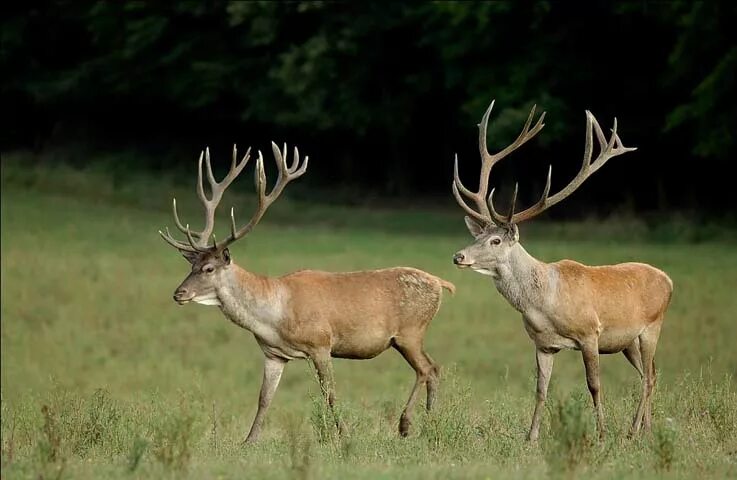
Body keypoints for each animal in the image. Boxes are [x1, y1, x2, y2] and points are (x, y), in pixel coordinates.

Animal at [158, 142, 452, 442]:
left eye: (208, 268)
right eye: (191, 265)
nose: (179, 293)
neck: (274, 317)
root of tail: (441, 283)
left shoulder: (321, 343)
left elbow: (330, 394)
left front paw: (345, 435)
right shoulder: (273, 354)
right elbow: (264, 398)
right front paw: (249, 441)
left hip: (410, 331)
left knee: (427, 368)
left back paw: (407, 425)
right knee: (433, 369)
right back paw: (430, 422)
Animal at [448, 99, 672, 440]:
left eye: (496, 240)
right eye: (477, 237)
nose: (459, 256)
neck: (542, 304)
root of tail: (668, 280)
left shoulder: (590, 333)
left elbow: (594, 385)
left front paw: (601, 434)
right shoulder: (543, 344)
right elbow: (541, 390)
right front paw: (531, 437)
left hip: (652, 327)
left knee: (647, 378)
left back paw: (632, 431)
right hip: (628, 342)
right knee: (653, 374)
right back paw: (646, 430)